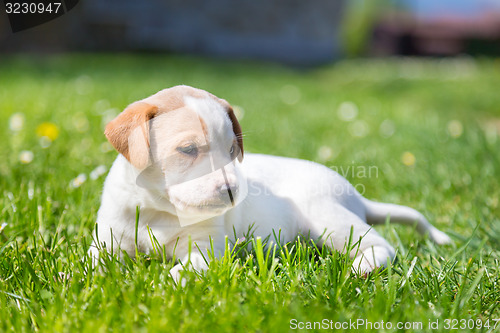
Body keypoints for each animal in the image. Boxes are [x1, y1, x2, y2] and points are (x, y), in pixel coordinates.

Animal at [91, 84, 454, 278]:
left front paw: (167, 282)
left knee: (380, 245)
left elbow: (186, 268)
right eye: (188, 150)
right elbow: (91, 262)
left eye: (232, 149)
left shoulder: (206, 249)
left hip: (329, 219)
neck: (160, 211)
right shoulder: (108, 240)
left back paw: (363, 267)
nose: (232, 192)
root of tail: (355, 196)